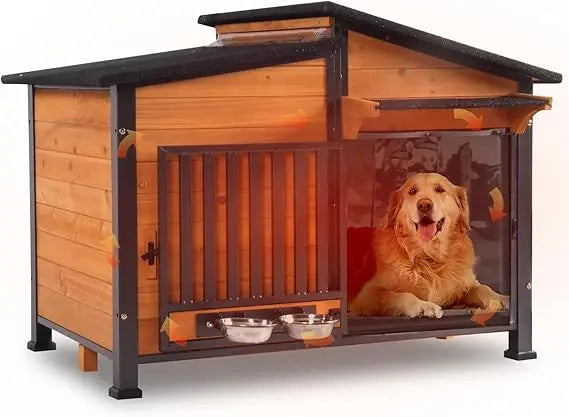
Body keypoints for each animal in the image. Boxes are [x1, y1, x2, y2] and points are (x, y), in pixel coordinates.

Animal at [349, 173, 509, 318]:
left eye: (440, 189)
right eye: (412, 191)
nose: (424, 205)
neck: (429, 255)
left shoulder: (465, 282)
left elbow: (483, 288)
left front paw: (500, 298)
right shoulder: (366, 295)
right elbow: (399, 295)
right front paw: (423, 306)